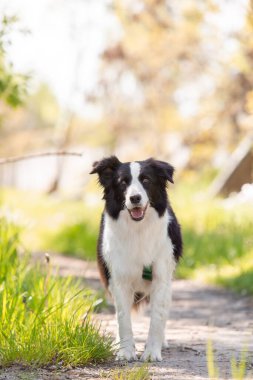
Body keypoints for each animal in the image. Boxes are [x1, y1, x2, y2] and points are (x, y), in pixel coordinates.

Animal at [90, 156, 183, 360]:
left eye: (146, 180)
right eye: (122, 182)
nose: (135, 198)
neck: (138, 230)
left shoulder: (161, 278)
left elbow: (157, 318)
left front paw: (151, 353)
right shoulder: (118, 279)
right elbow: (123, 318)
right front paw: (125, 351)